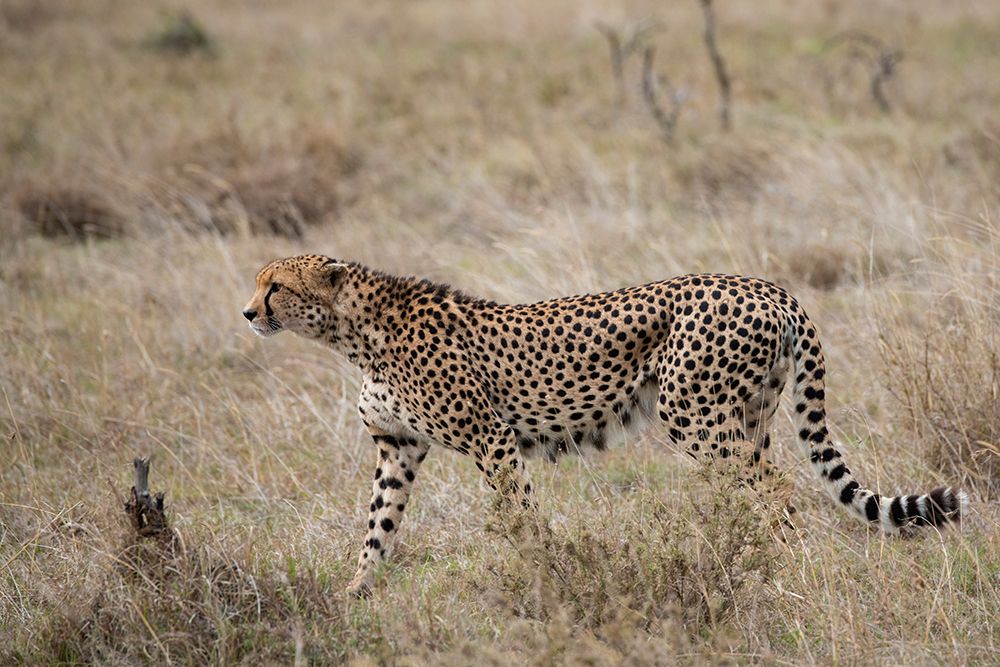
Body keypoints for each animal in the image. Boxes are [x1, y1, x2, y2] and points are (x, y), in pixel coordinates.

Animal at [242, 256, 968, 596]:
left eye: (276, 285)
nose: (248, 312)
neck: (354, 332)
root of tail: (769, 287)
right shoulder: (398, 449)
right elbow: (378, 526)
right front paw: (357, 591)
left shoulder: (491, 439)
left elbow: (521, 518)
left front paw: (546, 579)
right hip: (746, 416)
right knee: (763, 485)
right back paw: (756, 561)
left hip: (693, 414)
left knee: (779, 490)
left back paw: (782, 567)